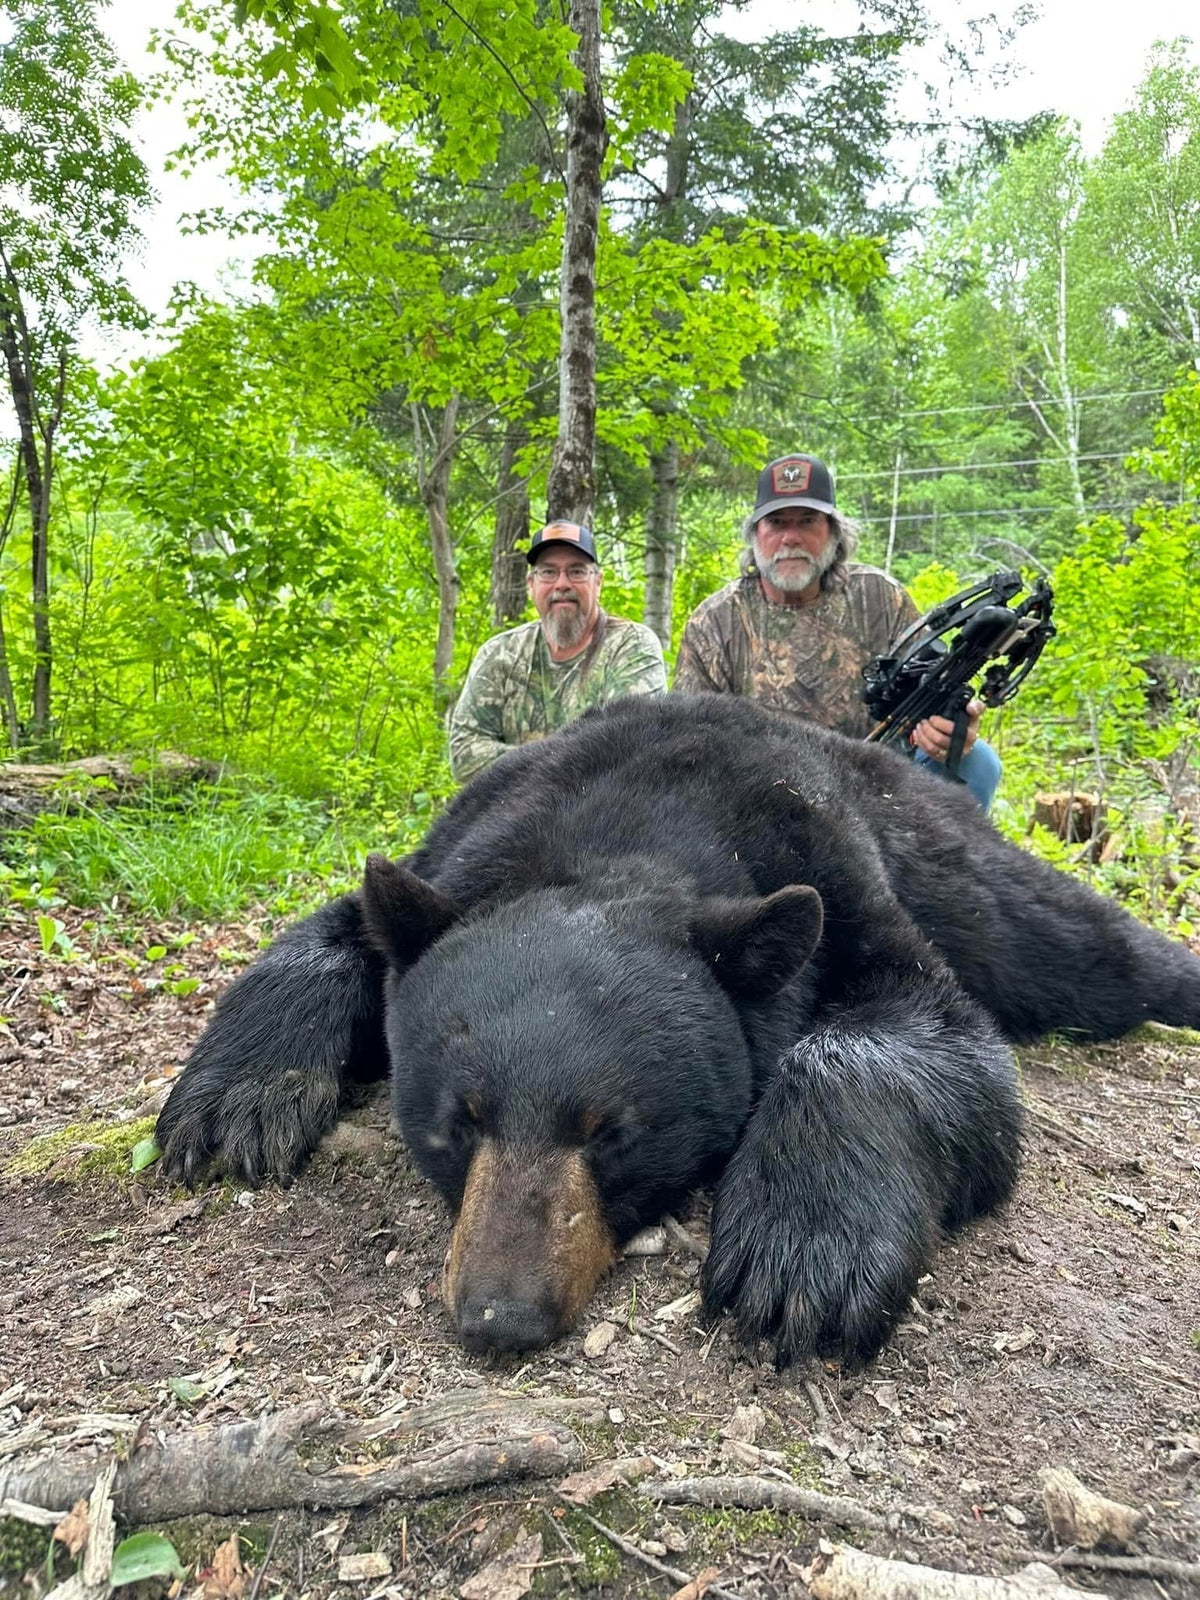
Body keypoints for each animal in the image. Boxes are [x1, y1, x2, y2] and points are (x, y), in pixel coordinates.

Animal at [155, 694, 1200, 1367]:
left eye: (612, 1134)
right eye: (458, 1125)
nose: (501, 1315)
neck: (621, 835)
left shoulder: (840, 875)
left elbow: (934, 1037)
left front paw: (800, 1254)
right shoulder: (453, 856)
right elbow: (337, 930)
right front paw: (233, 1104)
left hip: (959, 869)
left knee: (1078, 944)